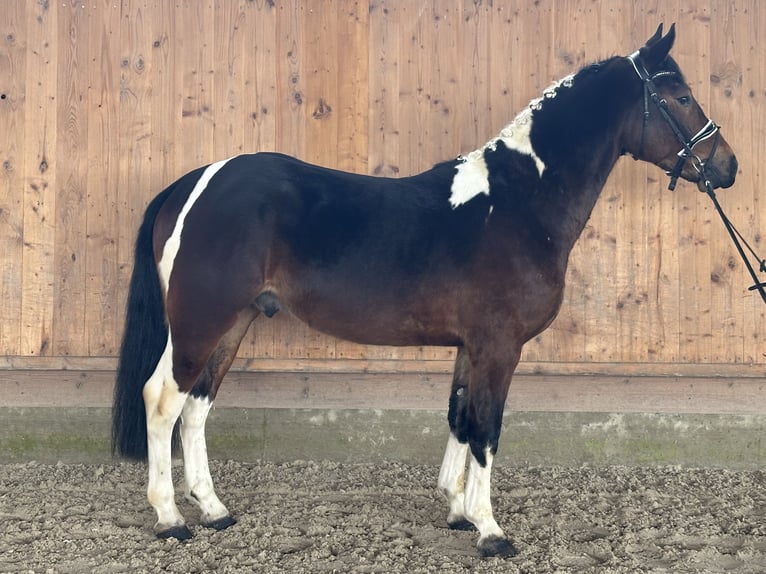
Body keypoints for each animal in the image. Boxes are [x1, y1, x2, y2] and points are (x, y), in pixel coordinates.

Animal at [112, 24, 737, 558]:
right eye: (681, 97)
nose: (727, 167)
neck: (516, 203)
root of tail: (194, 182)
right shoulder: (499, 346)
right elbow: (487, 427)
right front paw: (490, 530)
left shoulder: (471, 346)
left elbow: (460, 417)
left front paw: (458, 510)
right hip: (199, 320)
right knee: (163, 400)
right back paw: (170, 520)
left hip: (234, 321)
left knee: (196, 408)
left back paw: (215, 511)